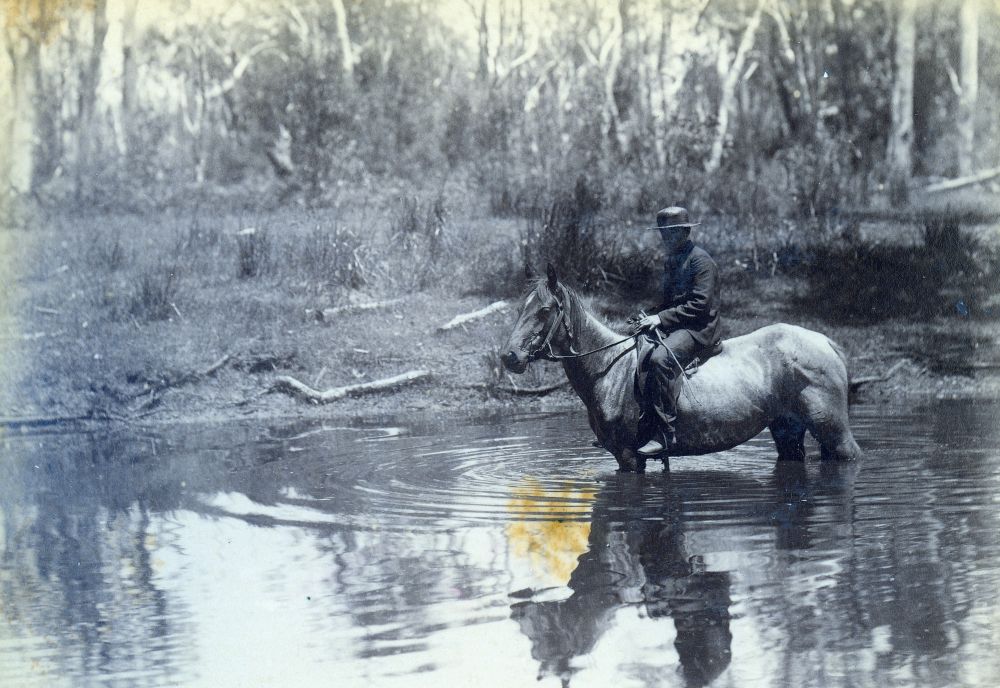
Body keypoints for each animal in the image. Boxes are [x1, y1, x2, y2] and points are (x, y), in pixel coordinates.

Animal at [501, 264, 864, 472]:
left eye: (544, 310)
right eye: (521, 308)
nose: (509, 356)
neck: (608, 369)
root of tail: (824, 341)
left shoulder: (630, 457)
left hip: (833, 430)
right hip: (788, 430)